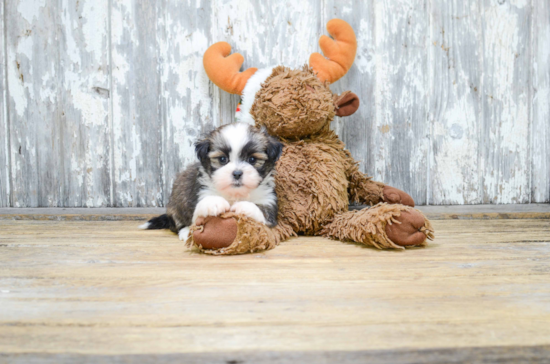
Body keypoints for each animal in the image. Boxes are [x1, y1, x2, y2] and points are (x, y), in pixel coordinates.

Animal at [141, 123, 284, 240]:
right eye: (222, 159)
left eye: (252, 159)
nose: (237, 173)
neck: (234, 194)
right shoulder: (202, 192)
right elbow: (198, 211)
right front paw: (214, 202)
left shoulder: (268, 200)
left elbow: (264, 212)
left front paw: (245, 206)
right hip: (176, 203)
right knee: (178, 223)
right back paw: (185, 231)